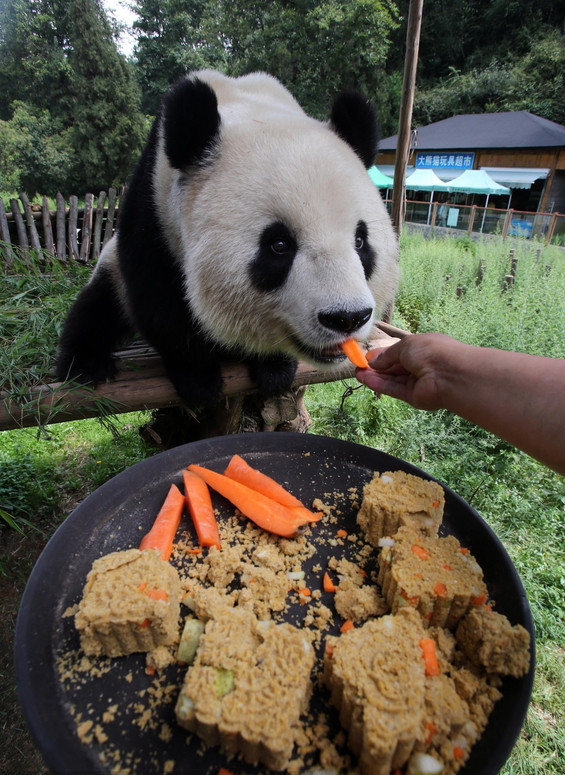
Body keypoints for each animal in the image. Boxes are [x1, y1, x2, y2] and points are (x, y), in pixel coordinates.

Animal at [54, 70, 396, 406]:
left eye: (360, 241)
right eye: (279, 245)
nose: (347, 317)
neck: (244, 103)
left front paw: (274, 368)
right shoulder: (154, 212)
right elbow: (159, 300)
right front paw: (198, 379)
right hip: (110, 267)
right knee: (98, 307)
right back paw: (85, 365)